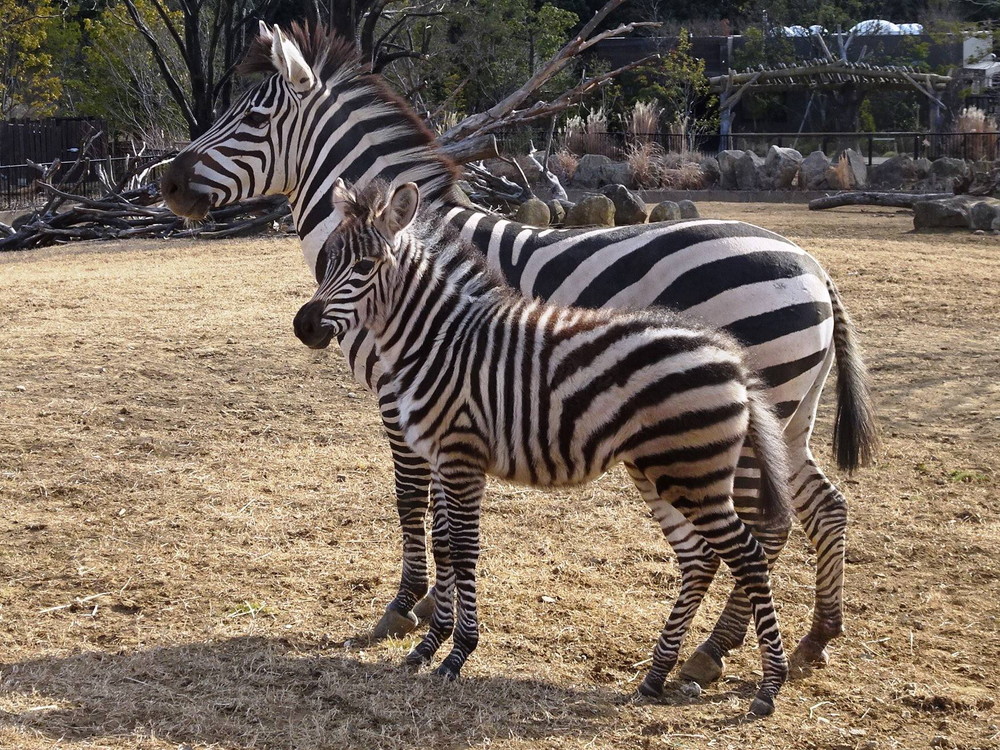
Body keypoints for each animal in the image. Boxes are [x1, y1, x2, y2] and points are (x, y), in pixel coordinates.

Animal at [158, 22, 876, 680]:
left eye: (252, 116)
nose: (166, 185)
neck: (402, 262)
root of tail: (813, 265)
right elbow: (442, 513)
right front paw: (435, 611)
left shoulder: (401, 394)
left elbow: (413, 501)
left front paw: (406, 606)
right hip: (787, 413)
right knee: (820, 505)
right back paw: (813, 638)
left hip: (742, 413)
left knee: (769, 523)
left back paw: (713, 651)